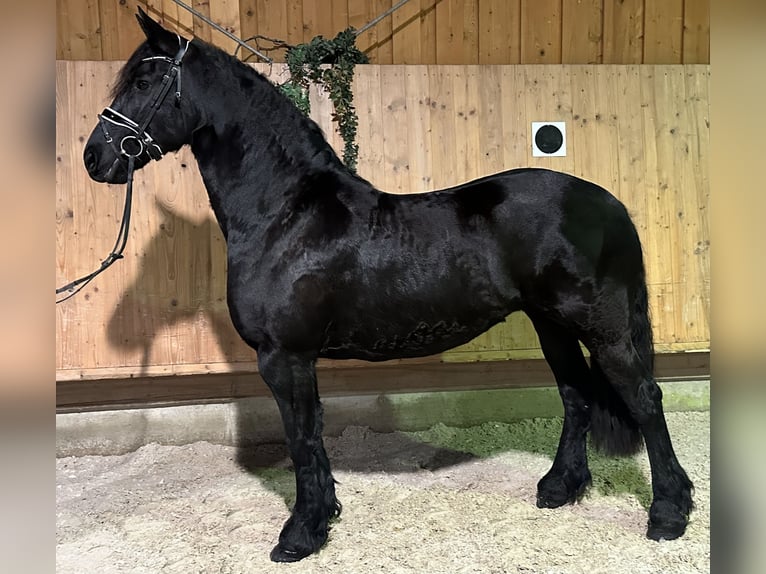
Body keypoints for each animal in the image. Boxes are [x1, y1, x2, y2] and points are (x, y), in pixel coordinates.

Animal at [83, 8, 693, 563]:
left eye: (143, 82)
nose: (95, 157)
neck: (287, 212)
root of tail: (607, 201)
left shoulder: (284, 356)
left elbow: (301, 439)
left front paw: (300, 535)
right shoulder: (297, 359)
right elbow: (313, 435)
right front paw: (325, 516)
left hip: (600, 325)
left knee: (644, 398)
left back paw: (668, 513)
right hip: (553, 325)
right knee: (576, 395)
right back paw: (559, 488)